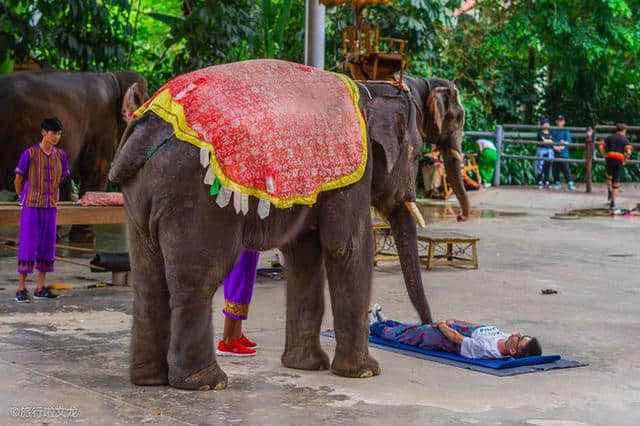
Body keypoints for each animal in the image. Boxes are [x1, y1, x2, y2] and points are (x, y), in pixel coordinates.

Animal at [0, 71, 148, 241]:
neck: (115, 78)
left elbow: (63, 179)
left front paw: (56, 236)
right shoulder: (102, 126)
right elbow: (97, 172)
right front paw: (86, 239)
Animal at [109, 72, 436, 390]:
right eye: (417, 155)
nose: (431, 326)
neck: (369, 87)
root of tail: (146, 130)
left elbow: (303, 252)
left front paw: (305, 366)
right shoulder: (353, 175)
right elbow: (348, 247)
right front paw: (366, 373)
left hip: (141, 197)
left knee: (148, 280)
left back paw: (149, 380)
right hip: (193, 196)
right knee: (198, 280)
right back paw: (206, 383)